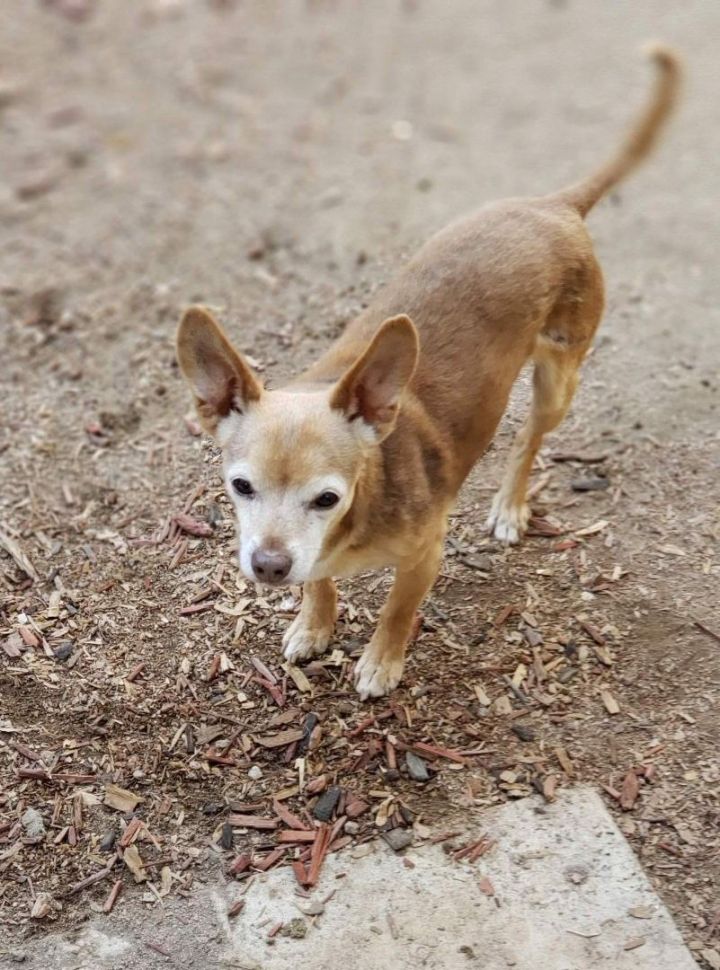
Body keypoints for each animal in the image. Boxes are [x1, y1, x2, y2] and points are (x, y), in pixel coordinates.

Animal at [174, 45, 680, 696]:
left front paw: (380, 663)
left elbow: (396, 610)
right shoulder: (315, 557)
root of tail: (554, 206)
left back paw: (509, 507)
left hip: (557, 381)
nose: (268, 565)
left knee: (528, 439)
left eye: (327, 498)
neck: (364, 503)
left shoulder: (425, 553)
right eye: (241, 487)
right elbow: (320, 580)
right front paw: (315, 625)